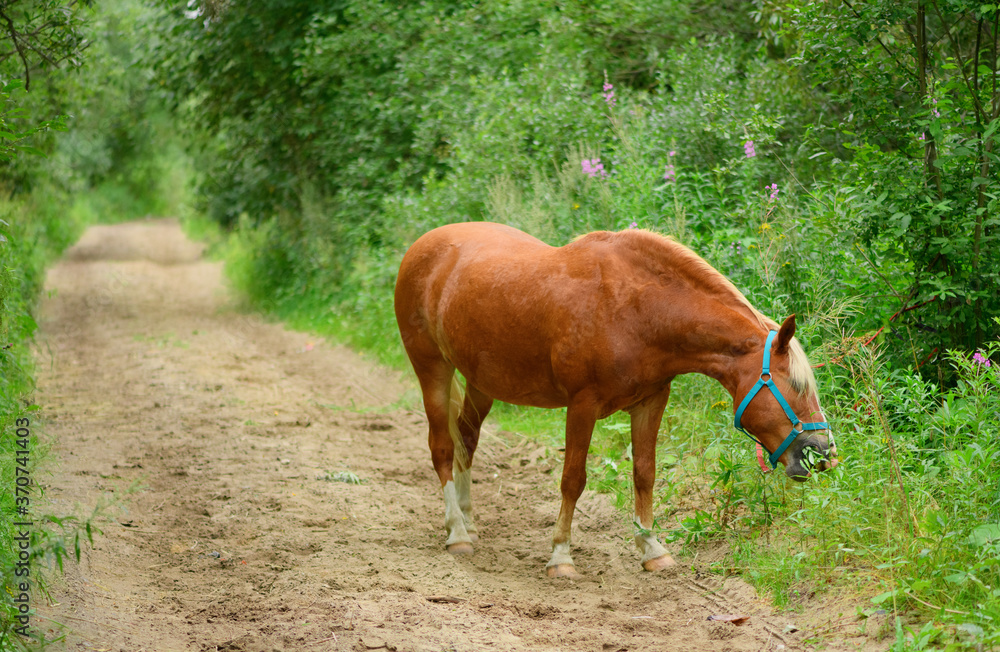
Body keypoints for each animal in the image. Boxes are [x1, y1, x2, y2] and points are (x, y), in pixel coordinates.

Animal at [393, 222, 837, 578]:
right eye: (796, 387)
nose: (822, 454)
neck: (640, 310)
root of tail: (423, 245)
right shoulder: (582, 405)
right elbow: (573, 480)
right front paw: (561, 557)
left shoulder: (651, 401)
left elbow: (645, 473)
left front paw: (653, 549)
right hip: (432, 369)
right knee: (442, 447)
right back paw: (456, 532)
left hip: (481, 381)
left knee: (467, 441)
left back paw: (468, 522)